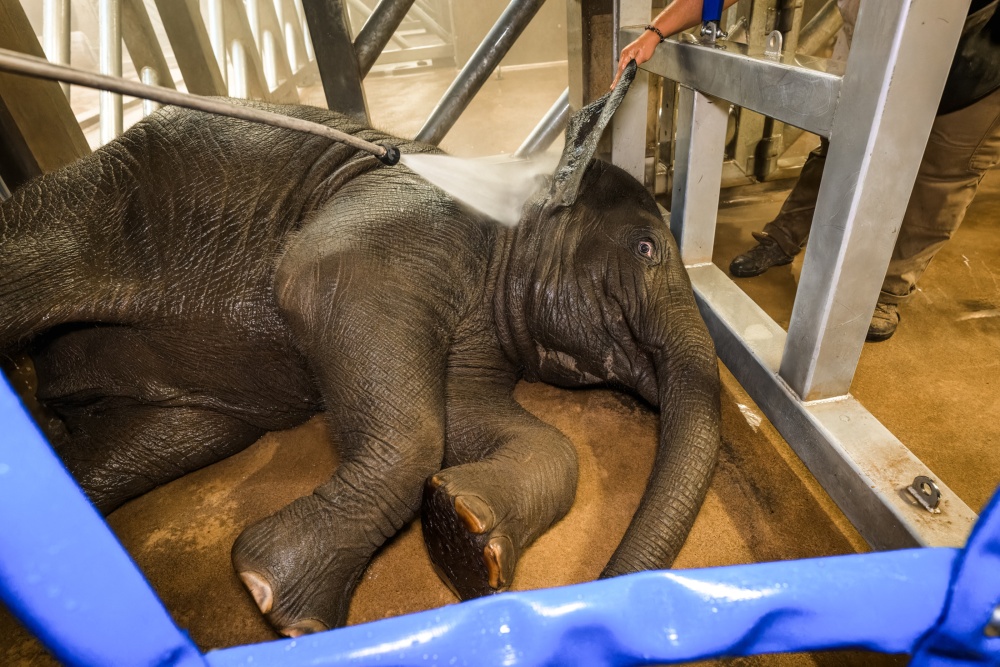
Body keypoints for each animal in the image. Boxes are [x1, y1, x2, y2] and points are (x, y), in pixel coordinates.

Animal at [0, 65, 720, 640]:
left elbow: (475, 419)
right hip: (83, 208)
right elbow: (327, 280)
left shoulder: (481, 327)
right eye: (646, 248)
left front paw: (462, 535)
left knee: (184, 434)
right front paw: (275, 599)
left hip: (188, 410)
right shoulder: (406, 219)